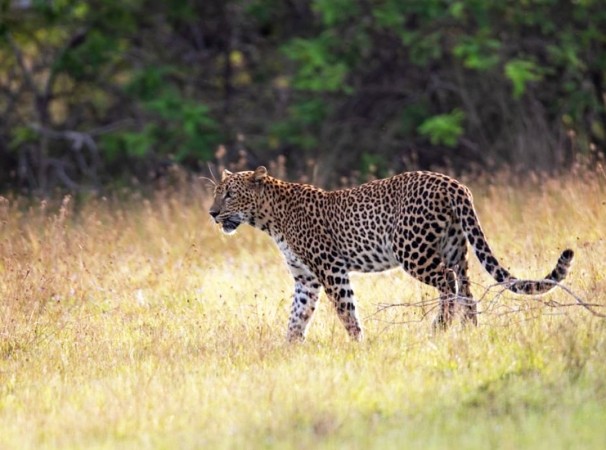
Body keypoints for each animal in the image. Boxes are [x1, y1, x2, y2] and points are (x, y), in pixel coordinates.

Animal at [209, 166, 574, 342]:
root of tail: (454, 184)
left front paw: (359, 344)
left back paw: (441, 326)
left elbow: (345, 310)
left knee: (447, 281)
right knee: (467, 289)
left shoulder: (330, 268)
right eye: (217, 193)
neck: (270, 219)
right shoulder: (306, 278)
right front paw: (289, 347)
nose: (211, 213)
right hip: (456, 247)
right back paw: (470, 329)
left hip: (413, 250)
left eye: (229, 195)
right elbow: (297, 315)